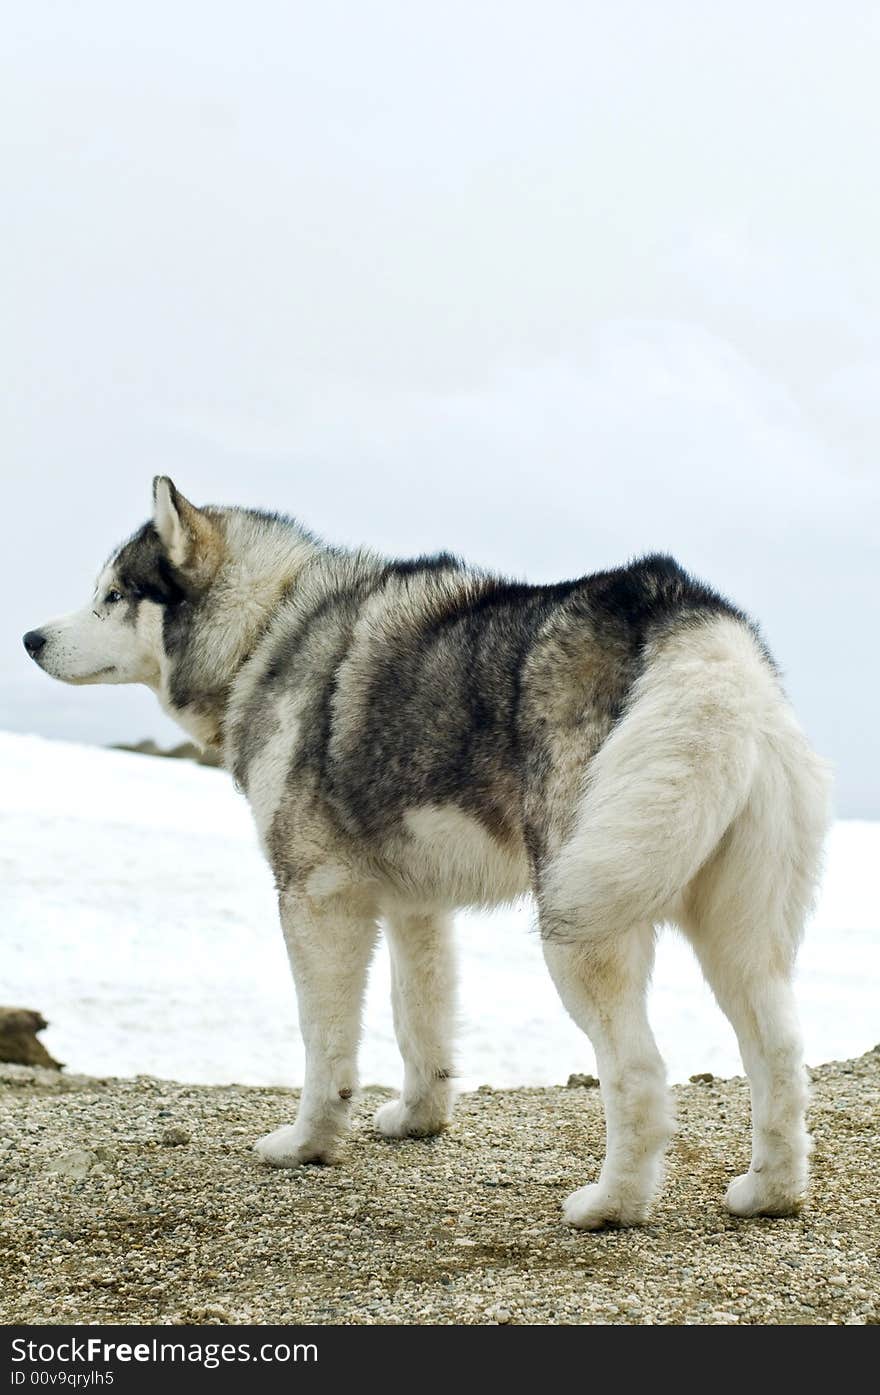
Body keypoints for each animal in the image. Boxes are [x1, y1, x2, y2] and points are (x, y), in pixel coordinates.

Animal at [24, 485, 831, 1227]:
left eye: (112, 595)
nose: (30, 638)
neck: (268, 629)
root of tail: (690, 618)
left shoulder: (317, 898)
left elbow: (325, 1043)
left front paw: (307, 1145)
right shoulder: (417, 907)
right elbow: (419, 1021)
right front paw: (419, 1121)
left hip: (585, 918)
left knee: (638, 1073)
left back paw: (610, 1206)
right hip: (737, 937)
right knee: (781, 1056)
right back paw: (769, 1192)